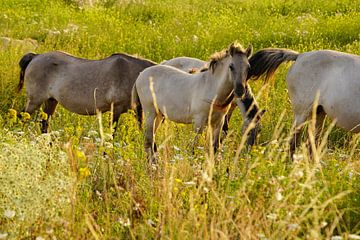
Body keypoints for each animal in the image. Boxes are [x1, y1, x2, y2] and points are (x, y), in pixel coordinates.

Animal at [17, 51, 156, 133]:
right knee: (22, 117)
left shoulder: (137, 110)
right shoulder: (116, 109)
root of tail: (35, 56)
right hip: (35, 101)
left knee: (45, 124)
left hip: (51, 101)